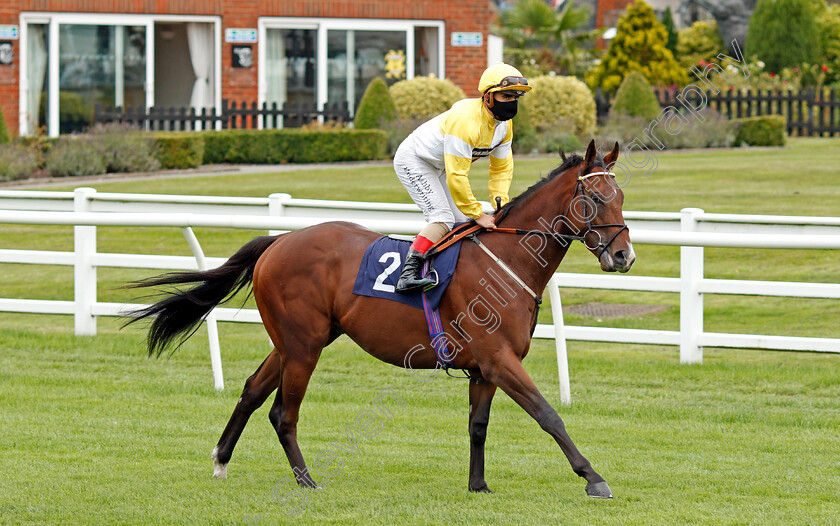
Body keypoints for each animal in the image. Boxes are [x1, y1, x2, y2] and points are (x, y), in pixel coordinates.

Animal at [128, 141, 632, 504]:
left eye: (622, 196)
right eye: (592, 198)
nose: (624, 256)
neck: (505, 260)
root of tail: (279, 241)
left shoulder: (484, 368)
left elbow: (478, 425)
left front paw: (478, 485)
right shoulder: (500, 359)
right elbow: (549, 415)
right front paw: (594, 478)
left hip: (295, 341)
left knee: (253, 391)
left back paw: (221, 459)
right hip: (304, 345)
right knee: (283, 413)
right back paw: (306, 481)